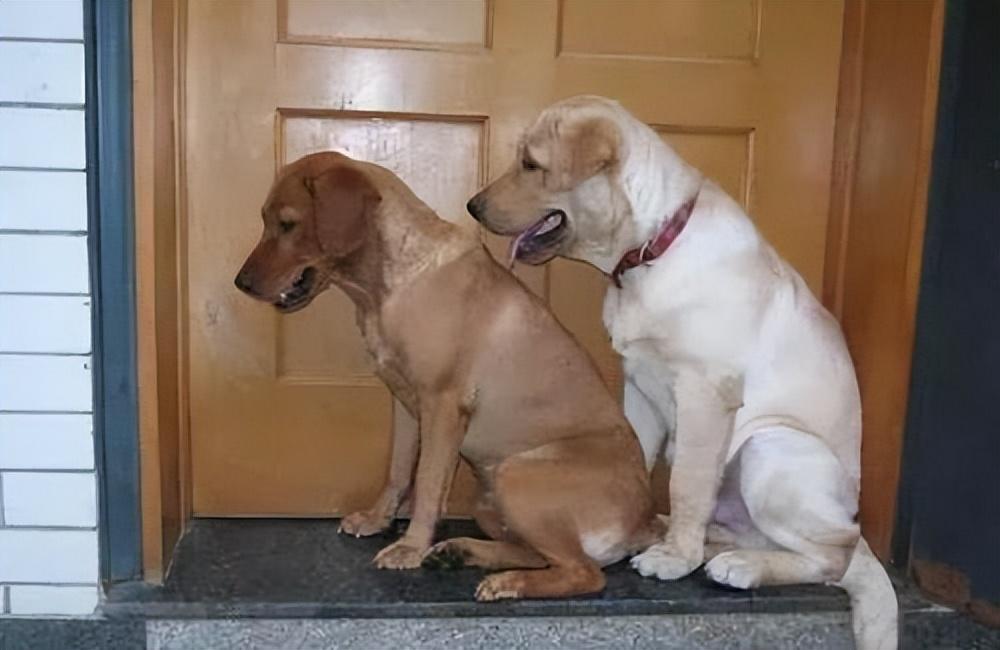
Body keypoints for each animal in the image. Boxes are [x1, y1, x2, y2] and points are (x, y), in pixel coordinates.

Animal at [234, 151, 662, 601]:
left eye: (288, 224)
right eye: (266, 220)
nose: (241, 283)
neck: (389, 287)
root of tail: (644, 522)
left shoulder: (442, 405)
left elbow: (426, 483)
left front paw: (409, 546)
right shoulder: (406, 406)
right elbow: (398, 472)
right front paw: (378, 520)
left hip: (515, 474)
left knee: (584, 573)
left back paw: (505, 582)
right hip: (489, 501)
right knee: (537, 553)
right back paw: (462, 553)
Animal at [466, 96, 898, 648]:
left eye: (531, 164)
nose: (472, 207)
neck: (650, 250)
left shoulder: (704, 392)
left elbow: (687, 481)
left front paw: (673, 558)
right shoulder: (639, 386)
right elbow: (640, 460)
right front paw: (640, 530)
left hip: (771, 444)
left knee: (833, 555)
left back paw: (739, 565)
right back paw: (702, 543)